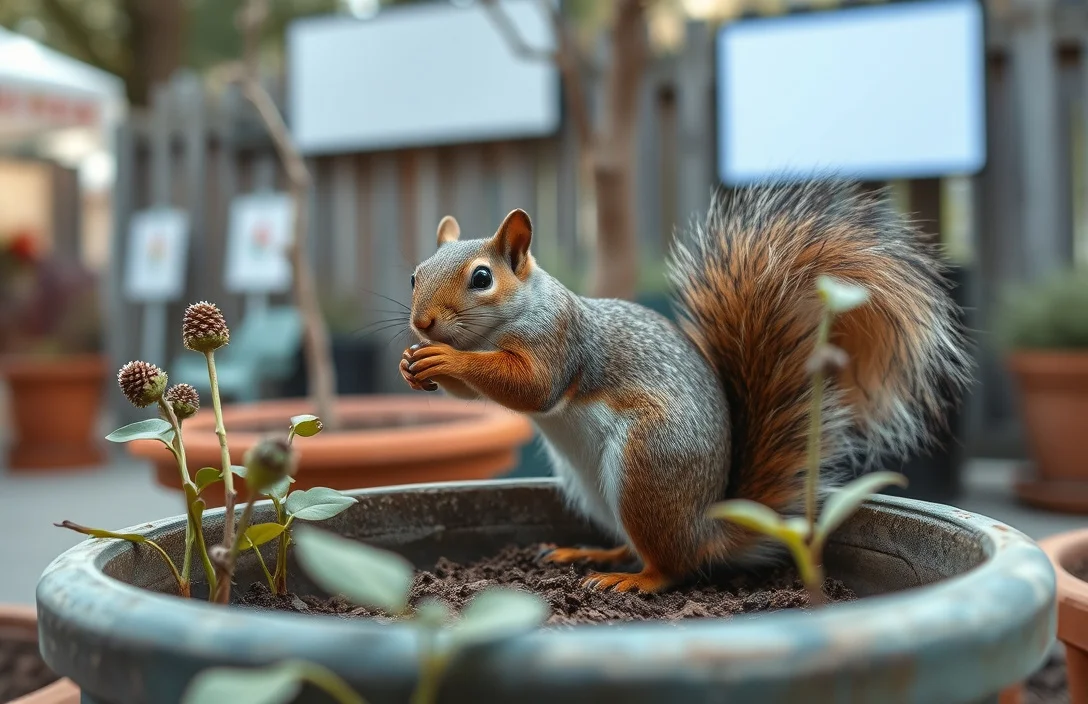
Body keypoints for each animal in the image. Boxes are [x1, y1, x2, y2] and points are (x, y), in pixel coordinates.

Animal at [400, 180, 971, 594]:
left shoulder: (560, 341)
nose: (422, 323)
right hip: (595, 489)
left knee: (671, 567)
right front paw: (414, 362)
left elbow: (530, 387)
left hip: (647, 467)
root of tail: (707, 531)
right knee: (640, 545)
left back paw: (629, 579)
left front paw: (446, 357)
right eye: (414, 275)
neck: (507, 321)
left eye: (481, 278)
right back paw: (591, 552)